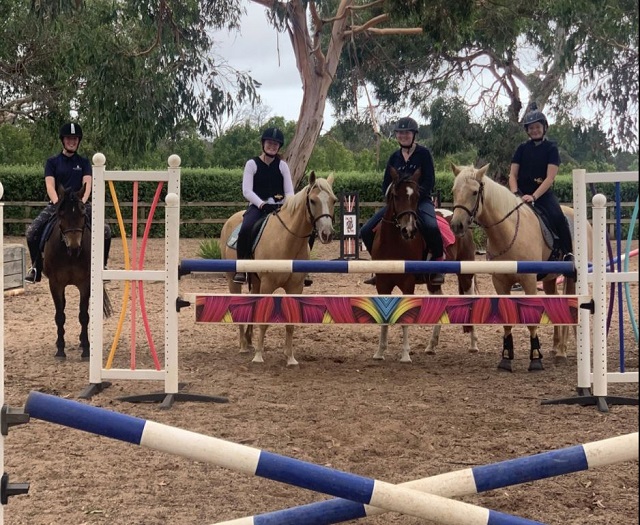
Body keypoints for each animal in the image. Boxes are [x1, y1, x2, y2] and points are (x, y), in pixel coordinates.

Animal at [43, 182, 112, 358]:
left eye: (82, 214)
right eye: (61, 214)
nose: (74, 247)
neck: (70, 255)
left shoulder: (85, 284)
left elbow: (84, 316)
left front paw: (86, 348)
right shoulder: (55, 284)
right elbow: (60, 316)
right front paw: (60, 349)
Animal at [219, 172, 338, 364]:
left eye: (334, 200)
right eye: (312, 201)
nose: (327, 234)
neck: (287, 240)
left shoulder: (295, 287)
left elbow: (290, 323)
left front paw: (290, 357)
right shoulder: (268, 285)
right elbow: (264, 321)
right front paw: (259, 355)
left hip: (256, 282)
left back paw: (249, 340)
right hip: (233, 279)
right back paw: (243, 344)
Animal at [370, 168, 480, 360]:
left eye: (416, 196)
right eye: (395, 195)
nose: (408, 230)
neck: (394, 243)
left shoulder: (407, 284)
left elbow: (404, 319)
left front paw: (405, 355)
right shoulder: (382, 284)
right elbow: (384, 318)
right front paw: (380, 352)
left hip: (465, 274)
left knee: (470, 300)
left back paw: (473, 344)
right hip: (433, 282)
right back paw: (431, 345)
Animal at [448, 164, 592, 372]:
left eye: (475, 192)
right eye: (453, 191)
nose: (456, 226)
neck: (507, 233)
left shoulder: (529, 282)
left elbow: (531, 322)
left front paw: (535, 359)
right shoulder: (500, 283)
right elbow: (507, 321)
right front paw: (506, 358)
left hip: (572, 278)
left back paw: (563, 352)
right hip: (549, 280)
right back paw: (556, 348)